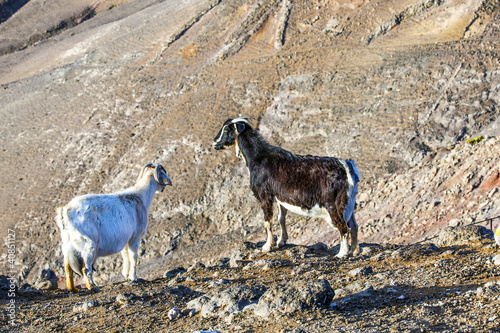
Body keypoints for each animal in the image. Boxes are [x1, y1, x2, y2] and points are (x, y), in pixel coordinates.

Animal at [211, 117, 360, 256]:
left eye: (226, 129)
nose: (214, 143)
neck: (258, 157)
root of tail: (347, 166)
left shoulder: (264, 195)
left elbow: (267, 221)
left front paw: (267, 246)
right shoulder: (279, 197)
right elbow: (281, 218)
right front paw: (281, 241)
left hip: (334, 205)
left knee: (344, 227)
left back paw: (342, 253)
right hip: (350, 203)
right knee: (354, 226)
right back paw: (354, 251)